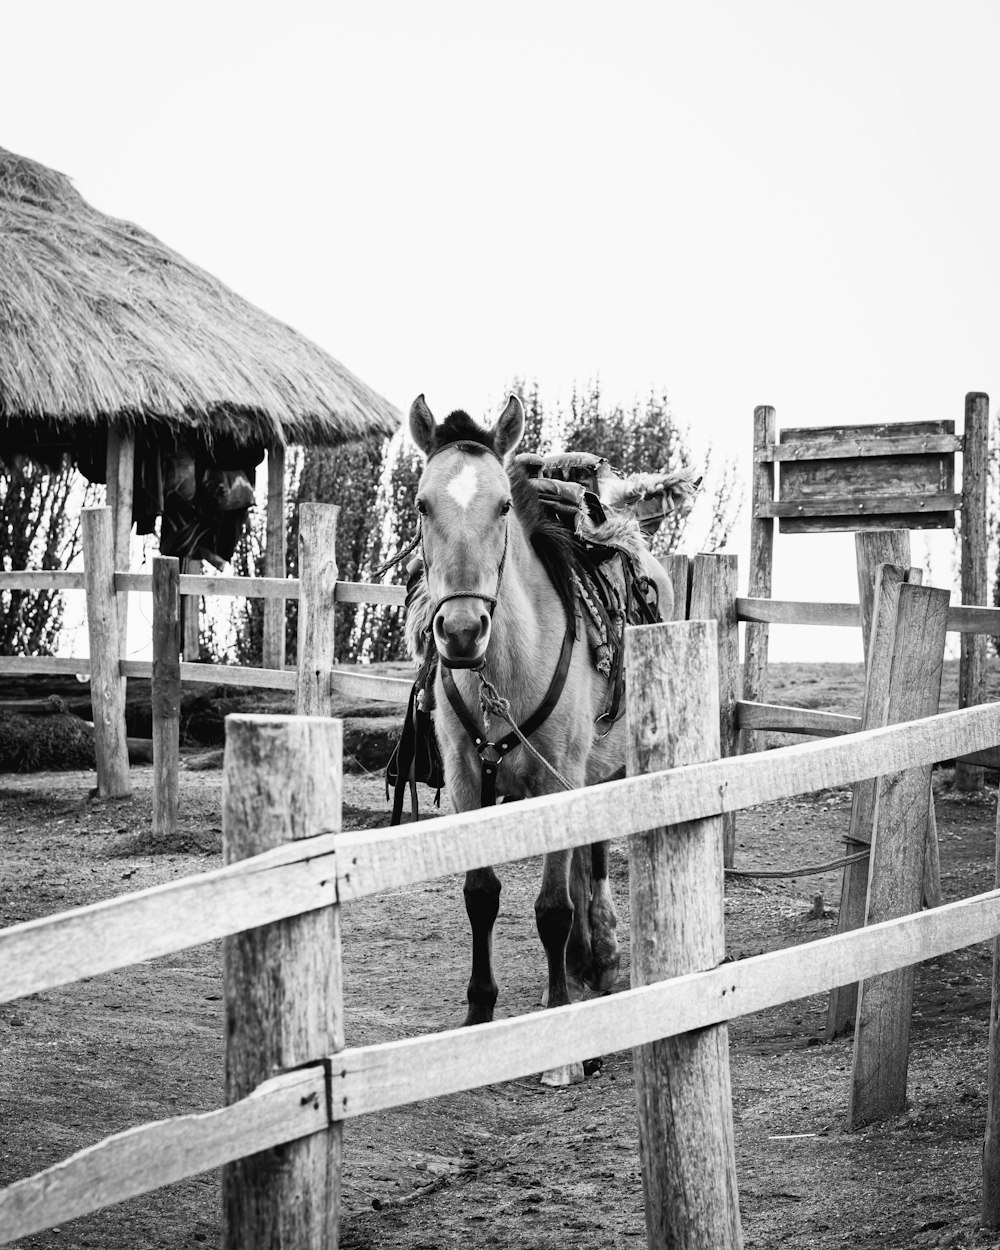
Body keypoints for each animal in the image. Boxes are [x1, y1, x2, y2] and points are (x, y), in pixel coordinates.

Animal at [402, 392, 690, 1085]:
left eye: (503, 505)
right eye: (422, 504)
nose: (460, 631)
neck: (505, 673)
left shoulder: (560, 779)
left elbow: (552, 908)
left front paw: (563, 1048)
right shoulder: (465, 782)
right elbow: (481, 895)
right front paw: (479, 1017)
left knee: (595, 859)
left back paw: (601, 957)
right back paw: (584, 965)